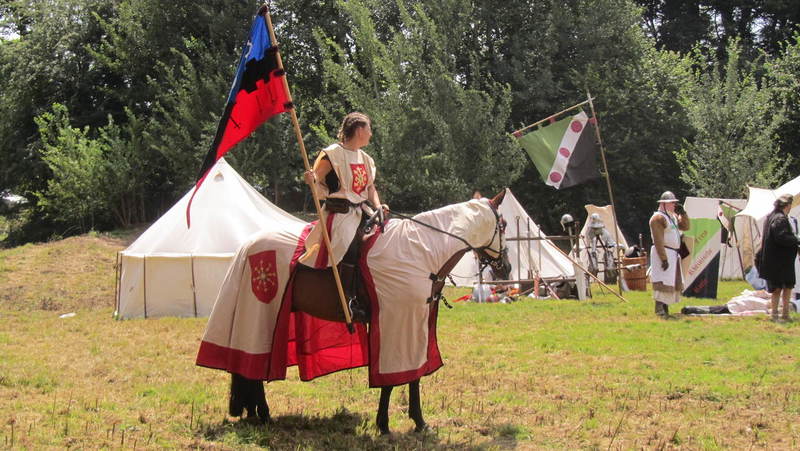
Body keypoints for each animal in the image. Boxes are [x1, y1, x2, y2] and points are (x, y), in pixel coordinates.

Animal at [196, 190, 511, 435]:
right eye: (504, 224)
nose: (506, 269)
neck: (421, 252)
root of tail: (246, 246)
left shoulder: (416, 323)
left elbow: (415, 375)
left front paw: (418, 422)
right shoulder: (395, 322)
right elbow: (394, 380)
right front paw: (386, 424)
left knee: (250, 373)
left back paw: (256, 415)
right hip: (259, 312)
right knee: (253, 370)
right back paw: (263, 414)